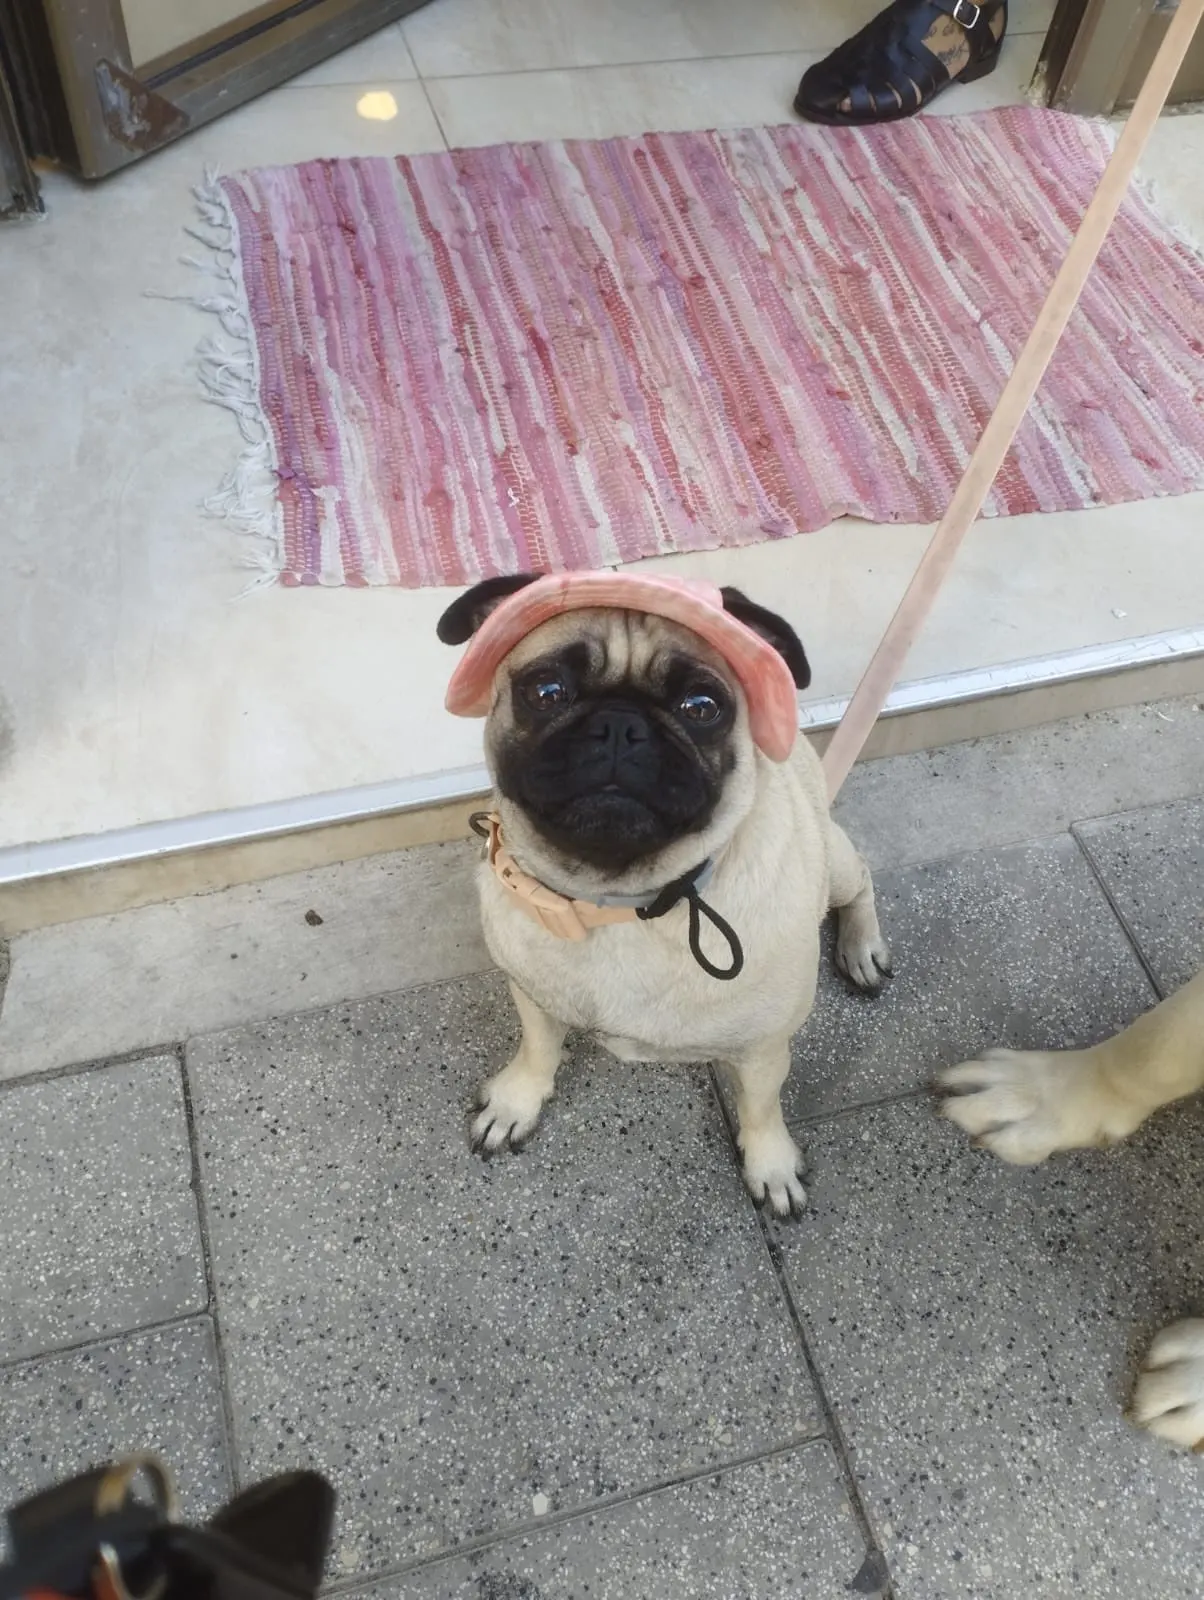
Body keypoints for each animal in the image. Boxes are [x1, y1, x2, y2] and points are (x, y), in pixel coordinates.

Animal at [437, 571, 891, 1218]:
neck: (621, 903)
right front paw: (516, 1101)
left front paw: (771, 1166)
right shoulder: (532, 997)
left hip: (837, 858)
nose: (619, 725)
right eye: (546, 691)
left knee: (863, 882)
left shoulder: (764, 1048)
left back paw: (861, 949)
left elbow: (760, 1108)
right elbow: (537, 1050)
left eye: (702, 707)